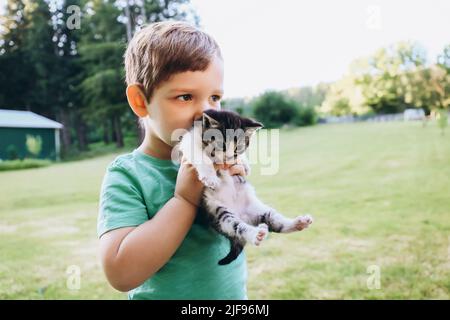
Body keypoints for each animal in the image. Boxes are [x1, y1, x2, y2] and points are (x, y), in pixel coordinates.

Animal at [176, 109, 312, 264]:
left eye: (237, 148)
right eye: (222, 145)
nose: (229, 158)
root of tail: (242, 216)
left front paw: (244, 164)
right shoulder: (187, 140)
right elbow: (199, 154)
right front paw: (210, 177)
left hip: (258, 209)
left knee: (274, 222)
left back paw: (298, 223)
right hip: (220, 215)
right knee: (238, 228)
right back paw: (256, 235)